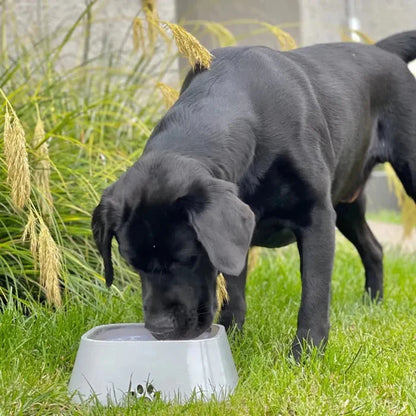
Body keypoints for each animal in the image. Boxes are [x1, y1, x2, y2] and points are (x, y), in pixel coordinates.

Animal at [92, 31, 416, 358]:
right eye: (133, 264)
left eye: (189, 258)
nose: (160, 330)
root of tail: (382, 51)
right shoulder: (235, 239)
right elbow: (234, 293)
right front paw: (232, 337)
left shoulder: (317, 215)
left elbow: (314, 291)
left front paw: (306, 353)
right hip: (347, 203)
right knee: (374, 248)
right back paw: (371, 304)